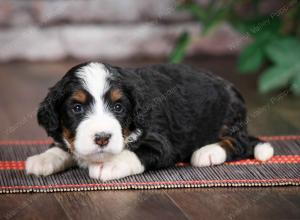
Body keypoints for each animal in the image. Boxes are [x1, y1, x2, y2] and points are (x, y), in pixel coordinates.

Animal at [25, 62, 274, 180]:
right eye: (77, 108)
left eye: (118, 107)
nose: (102, 138)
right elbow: (62, 146)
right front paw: (43, 159)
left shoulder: (162, 143)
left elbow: (134, 152)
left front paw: (110, 163)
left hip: (229, 117)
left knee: (240, 143)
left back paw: (208, 152)